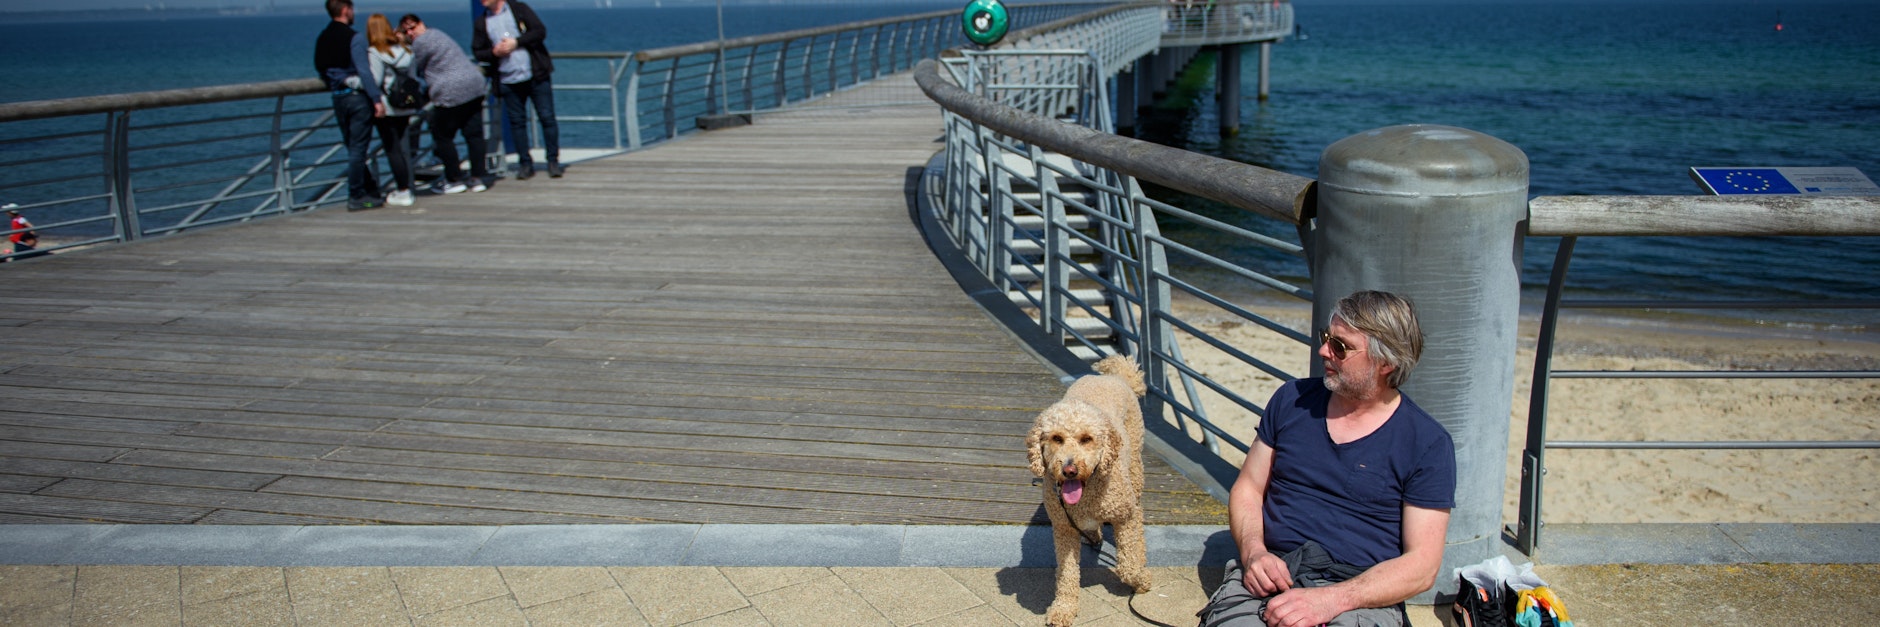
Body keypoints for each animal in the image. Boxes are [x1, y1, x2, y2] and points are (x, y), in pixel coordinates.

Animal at [1025, 355, 1151, 626]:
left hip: (1135, 467)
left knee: (1139, 515)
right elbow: (1067, 574)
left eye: (1086, 439)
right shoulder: (1064, 529)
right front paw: (1063, 609)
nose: (1070, 470)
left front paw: (1140, 579)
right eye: (1056, 438)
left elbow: (1127, 564)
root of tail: (1114, 376)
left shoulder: (1124, 517)